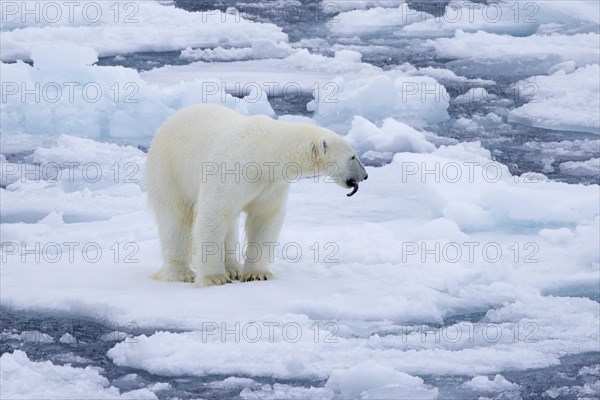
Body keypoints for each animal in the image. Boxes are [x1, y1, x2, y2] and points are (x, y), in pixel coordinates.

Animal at [146, 103, 366, 288]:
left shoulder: (272, 185)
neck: (265, 153)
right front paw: (214, 278)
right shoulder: (232, 171)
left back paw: (233, 267)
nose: (364, 176)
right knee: (174, 218)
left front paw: (257, 274)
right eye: (352, 156)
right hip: (169, 168)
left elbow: (265, 219)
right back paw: (180, 273)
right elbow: (214, 215)